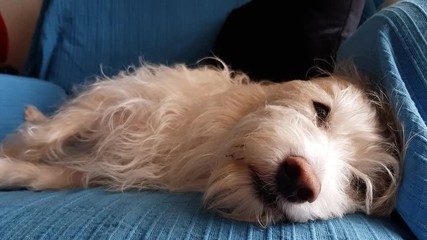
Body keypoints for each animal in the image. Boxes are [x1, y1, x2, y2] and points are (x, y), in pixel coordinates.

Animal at [0, 62, 402, 226]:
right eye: (320, 110)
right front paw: (12, 152)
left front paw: (11, 170)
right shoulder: (111, 100)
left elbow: (48, 175)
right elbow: (47, 135)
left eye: (357, 185)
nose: (301, 180)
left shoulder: (93, 168)